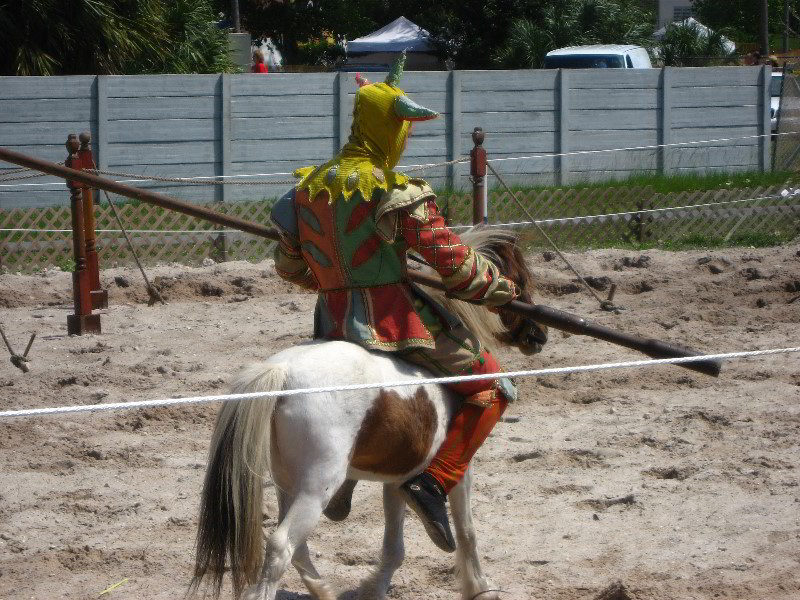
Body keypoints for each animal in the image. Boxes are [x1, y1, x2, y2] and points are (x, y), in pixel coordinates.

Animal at [191, 230, 548, 600]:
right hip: (317, 486)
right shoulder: (458, 473)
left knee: (297, 548)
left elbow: (394, 548)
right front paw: (479, 588)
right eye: (521, 282)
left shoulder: (397, 480)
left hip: (289, 483)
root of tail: (282, 371)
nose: (539, 335)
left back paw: (324, 590)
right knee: (281, 546)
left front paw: (374, 589)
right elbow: (467, 532)